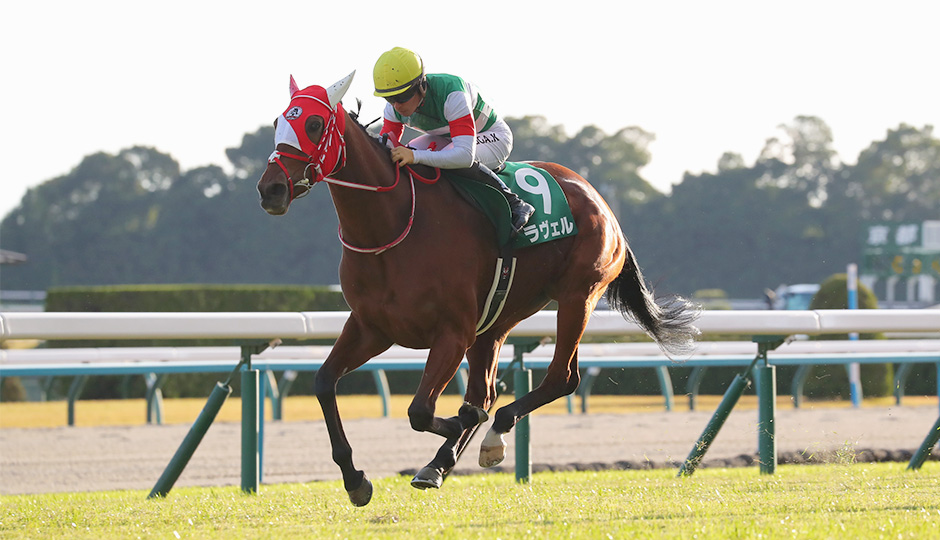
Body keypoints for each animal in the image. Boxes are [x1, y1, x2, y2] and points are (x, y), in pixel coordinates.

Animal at [256, 72, 700, 506]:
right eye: (278, 122)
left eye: (314, 124)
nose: (270, 189)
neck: (392, 226)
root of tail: (599, 200)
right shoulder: (372, 327)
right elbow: (324, 383)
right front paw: (355, 478)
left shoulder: (452, 332)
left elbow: (422, 410)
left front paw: (461, 425)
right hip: (498, 318)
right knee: (489, 391)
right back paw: (439, 463)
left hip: (578, 296)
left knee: (559, 379)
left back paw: (489, 435)